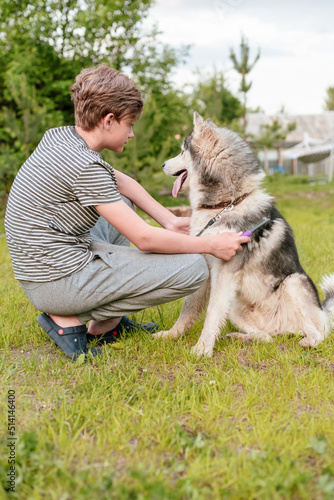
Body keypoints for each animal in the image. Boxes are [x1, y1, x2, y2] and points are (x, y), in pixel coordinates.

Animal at [153, 111, 334, 358]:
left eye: (181, 151)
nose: (162, 164)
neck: (226, 204)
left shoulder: (224, 272)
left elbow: (211, 313)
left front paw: (202, 348)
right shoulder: (207, 267)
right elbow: (188, 308)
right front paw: (172, 334)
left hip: (293, 283)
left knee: (319, 334)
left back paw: (308, 341)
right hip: (236, 309)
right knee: (267, 338)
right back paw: (240, 337)